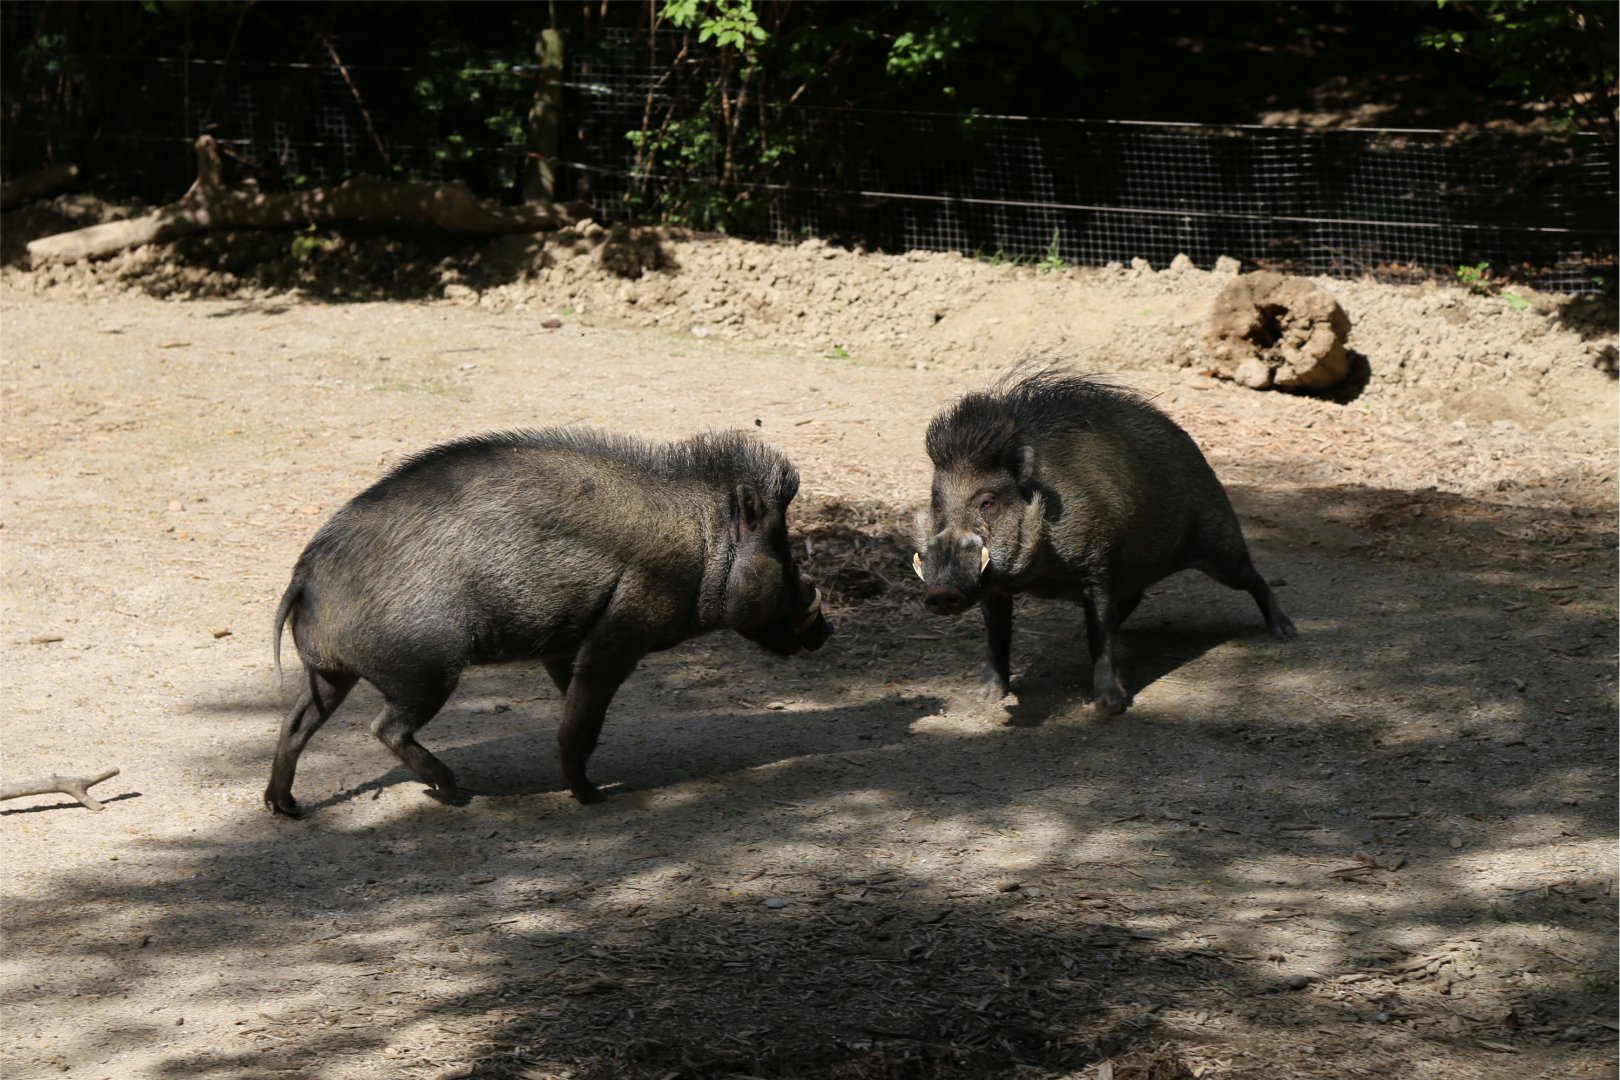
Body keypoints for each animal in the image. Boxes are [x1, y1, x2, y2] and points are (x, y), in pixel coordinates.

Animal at [265, 427, 831, 817]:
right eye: (782, 553)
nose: (825, 631)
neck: (704, 548)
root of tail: (303, 576)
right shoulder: (618, 637)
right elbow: (580, 720)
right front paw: (592, 797)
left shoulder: (564, 646)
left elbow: (575, 709)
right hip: (425, 669)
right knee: (383, 727)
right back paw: (454, 791)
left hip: (331, 672)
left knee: (297, 722)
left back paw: (285, 808)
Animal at [913, 369, 1295, 714]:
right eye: (936, 502)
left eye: (988, 502)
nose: (940, 593)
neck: (1039, 570)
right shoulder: (993, 588)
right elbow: (998, 638)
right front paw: (987, 698)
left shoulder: (1096, 568)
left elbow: (1101, 637)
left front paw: (1109, 706)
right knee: (1135, 596)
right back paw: (1076, 634)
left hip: (1220, 544)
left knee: (1254, 578)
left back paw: (1284, 631)